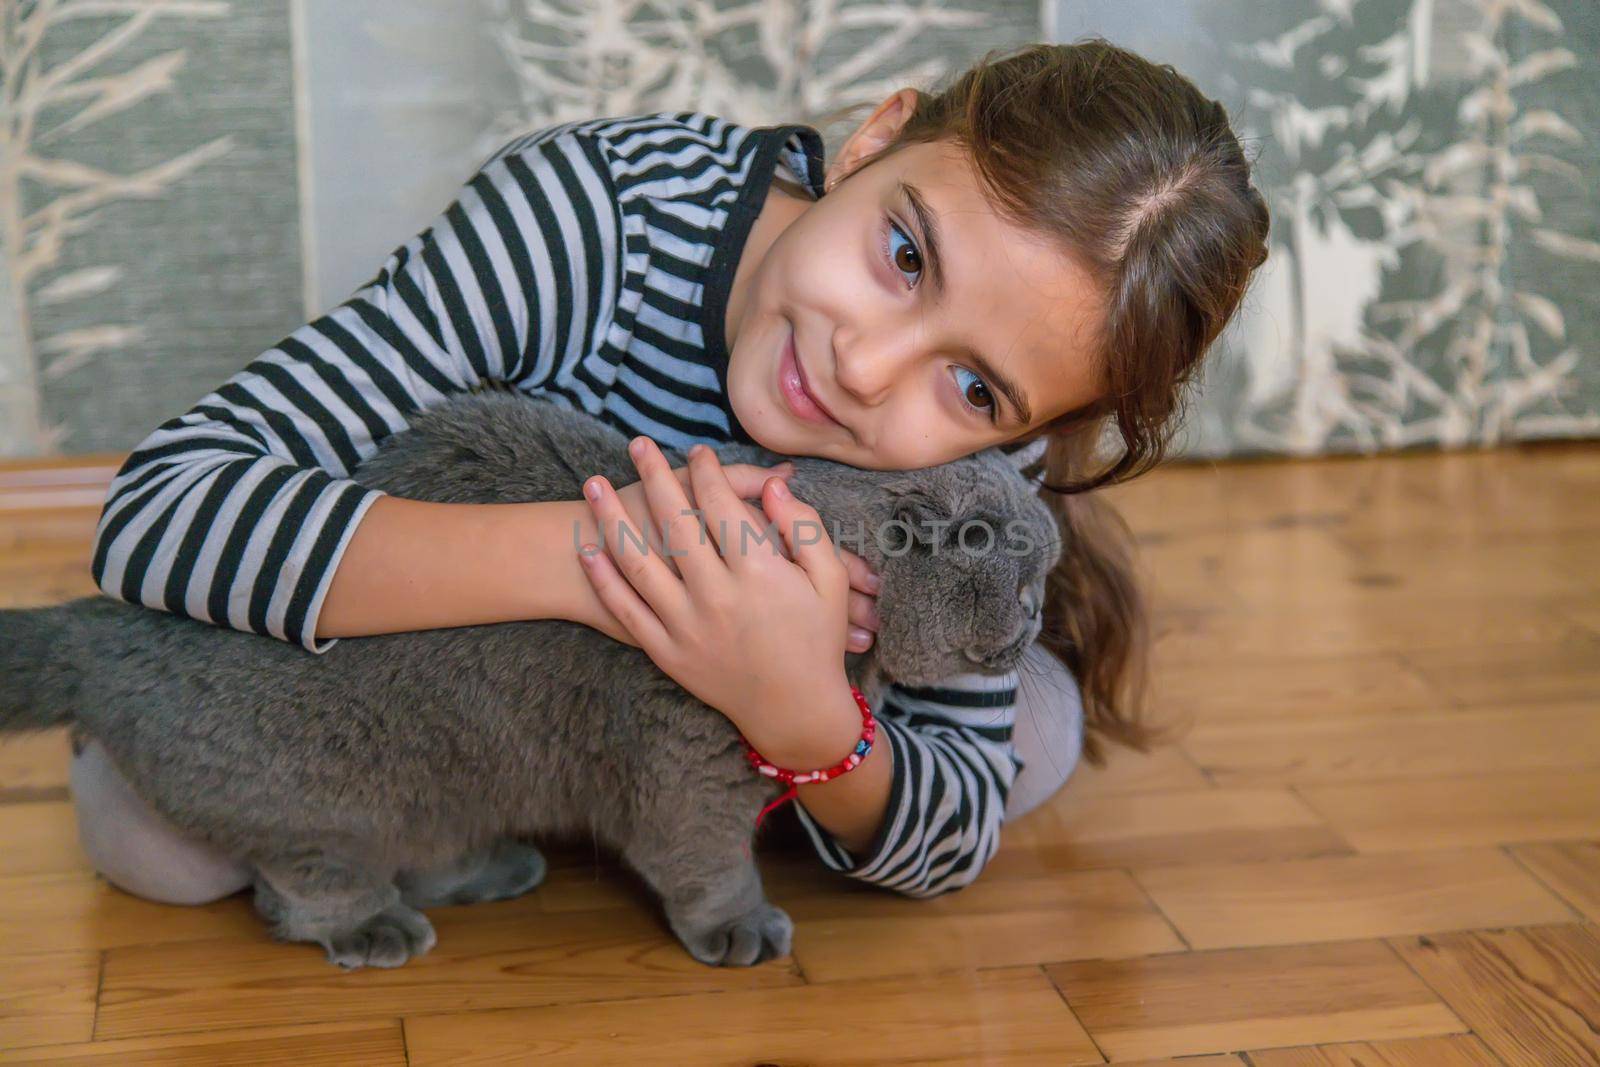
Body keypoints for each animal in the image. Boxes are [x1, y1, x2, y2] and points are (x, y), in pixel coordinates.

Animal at [0, 396, 1062, 972]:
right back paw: (374, 923)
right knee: (300, 883)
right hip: (320, 792)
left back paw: (488, 868)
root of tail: (101, 625)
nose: (1040, 613)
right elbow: (703, 859)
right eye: (1021, 576)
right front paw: (739, 926)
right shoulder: (690, 763)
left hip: (451, 772)